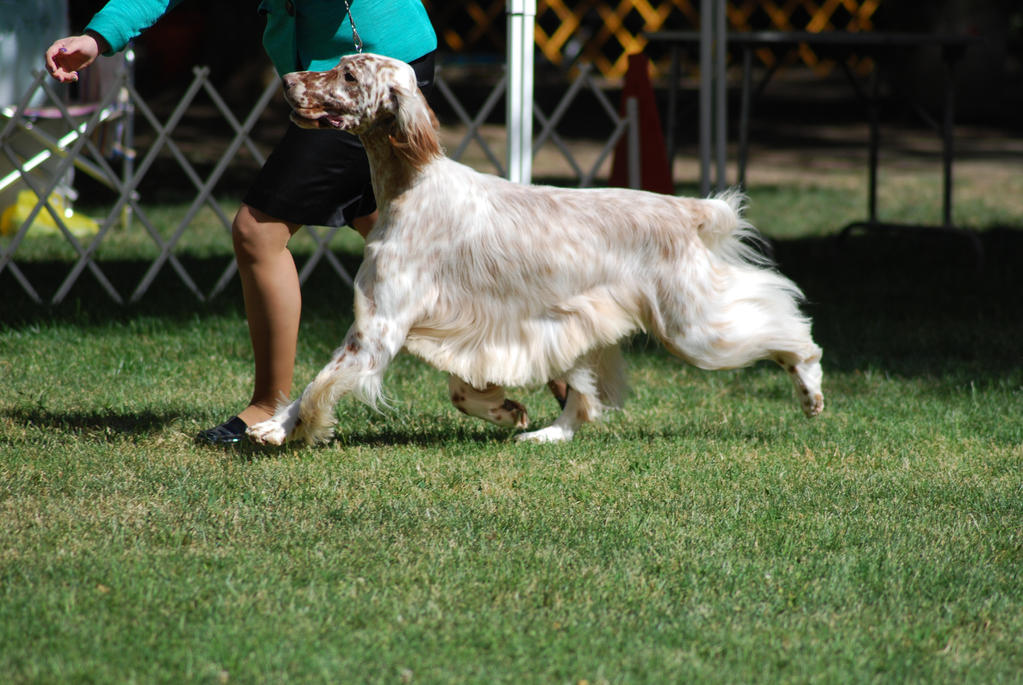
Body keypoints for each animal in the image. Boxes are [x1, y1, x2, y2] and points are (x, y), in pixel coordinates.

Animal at [245, 54, 822, 449]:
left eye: (348, 75)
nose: (287, 81)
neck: (413, 184)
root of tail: (684, 210)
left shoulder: (379, 327)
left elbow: (321, 382)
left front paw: (282, 427)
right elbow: (461, 390)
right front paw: (507, 411)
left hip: (690, 326)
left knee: (784, 321)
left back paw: (810, 388)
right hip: (589, 324)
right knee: (583, 400)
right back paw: (544, 435)